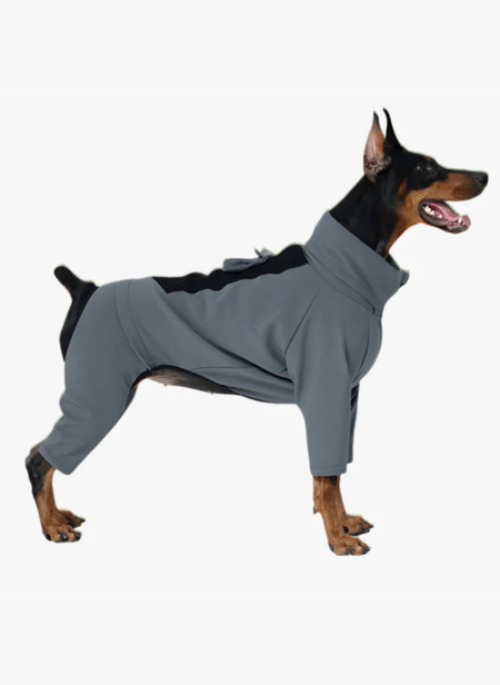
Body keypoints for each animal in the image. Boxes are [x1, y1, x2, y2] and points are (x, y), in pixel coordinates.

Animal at [26, 110, 488, 555]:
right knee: (39, 458)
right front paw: (338, 540)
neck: (343, 266)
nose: (484, 176)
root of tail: (85, 289)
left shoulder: (347, 396)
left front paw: (343, 523)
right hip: (98, 396)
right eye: (426, 167)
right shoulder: (326, 388)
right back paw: (52, 527)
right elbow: (327, 476)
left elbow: (334, 477)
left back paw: (59, 517)